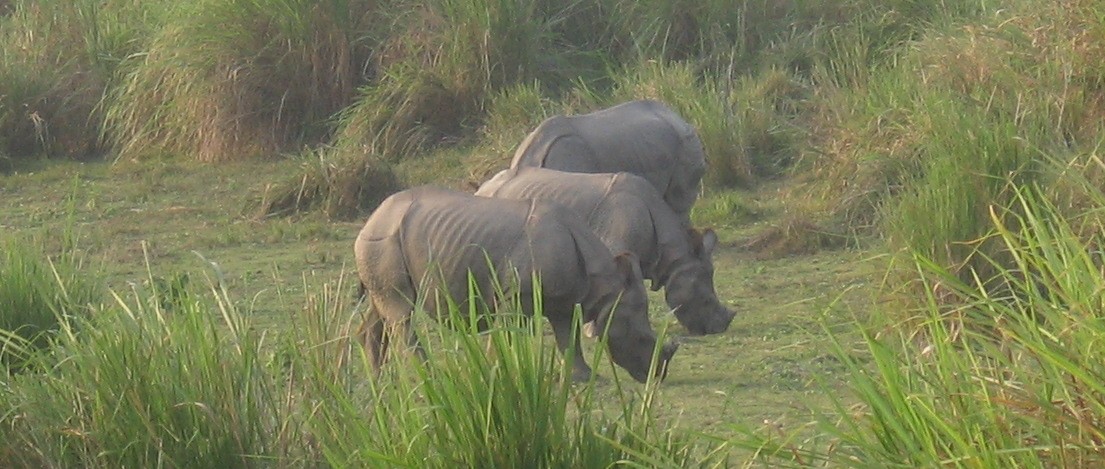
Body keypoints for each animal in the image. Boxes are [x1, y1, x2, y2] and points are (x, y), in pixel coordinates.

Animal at [354, 186, 678, 383]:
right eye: (642, 338)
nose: (658, 375)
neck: (606, 286)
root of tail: (371, 218)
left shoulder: (565, 299)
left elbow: (568, 337)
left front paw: (584, 377)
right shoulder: (514, 293)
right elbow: (506, 333)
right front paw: (495, 370)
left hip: (386, 239)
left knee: (383, 307)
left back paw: (378, 379)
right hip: (383, 240)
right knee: (401, 310)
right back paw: (431, 375)